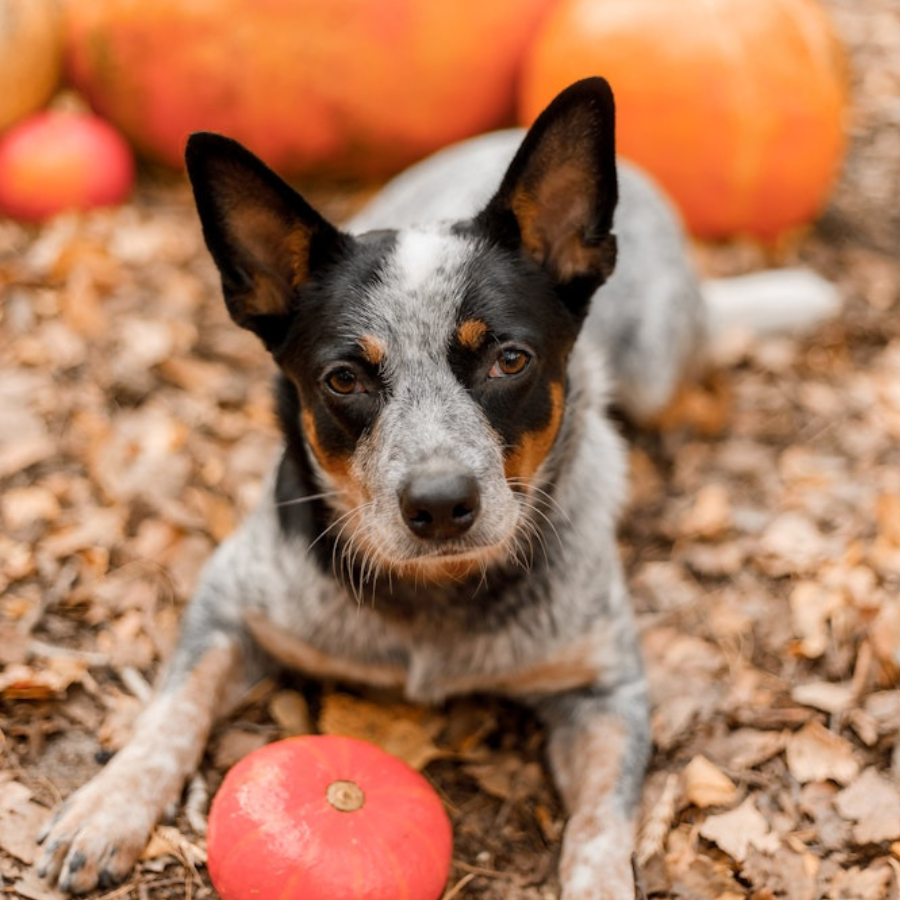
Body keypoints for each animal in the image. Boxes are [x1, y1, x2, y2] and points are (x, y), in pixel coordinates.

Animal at [35, 79, 836, 900]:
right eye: (344, 379)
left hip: (654, 366)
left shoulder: (607, 688)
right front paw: (109, 807)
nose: (442, 504)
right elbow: (169, 712)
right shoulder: (227, 601)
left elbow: (601, 823)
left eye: (509, 359)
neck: (434, 602)